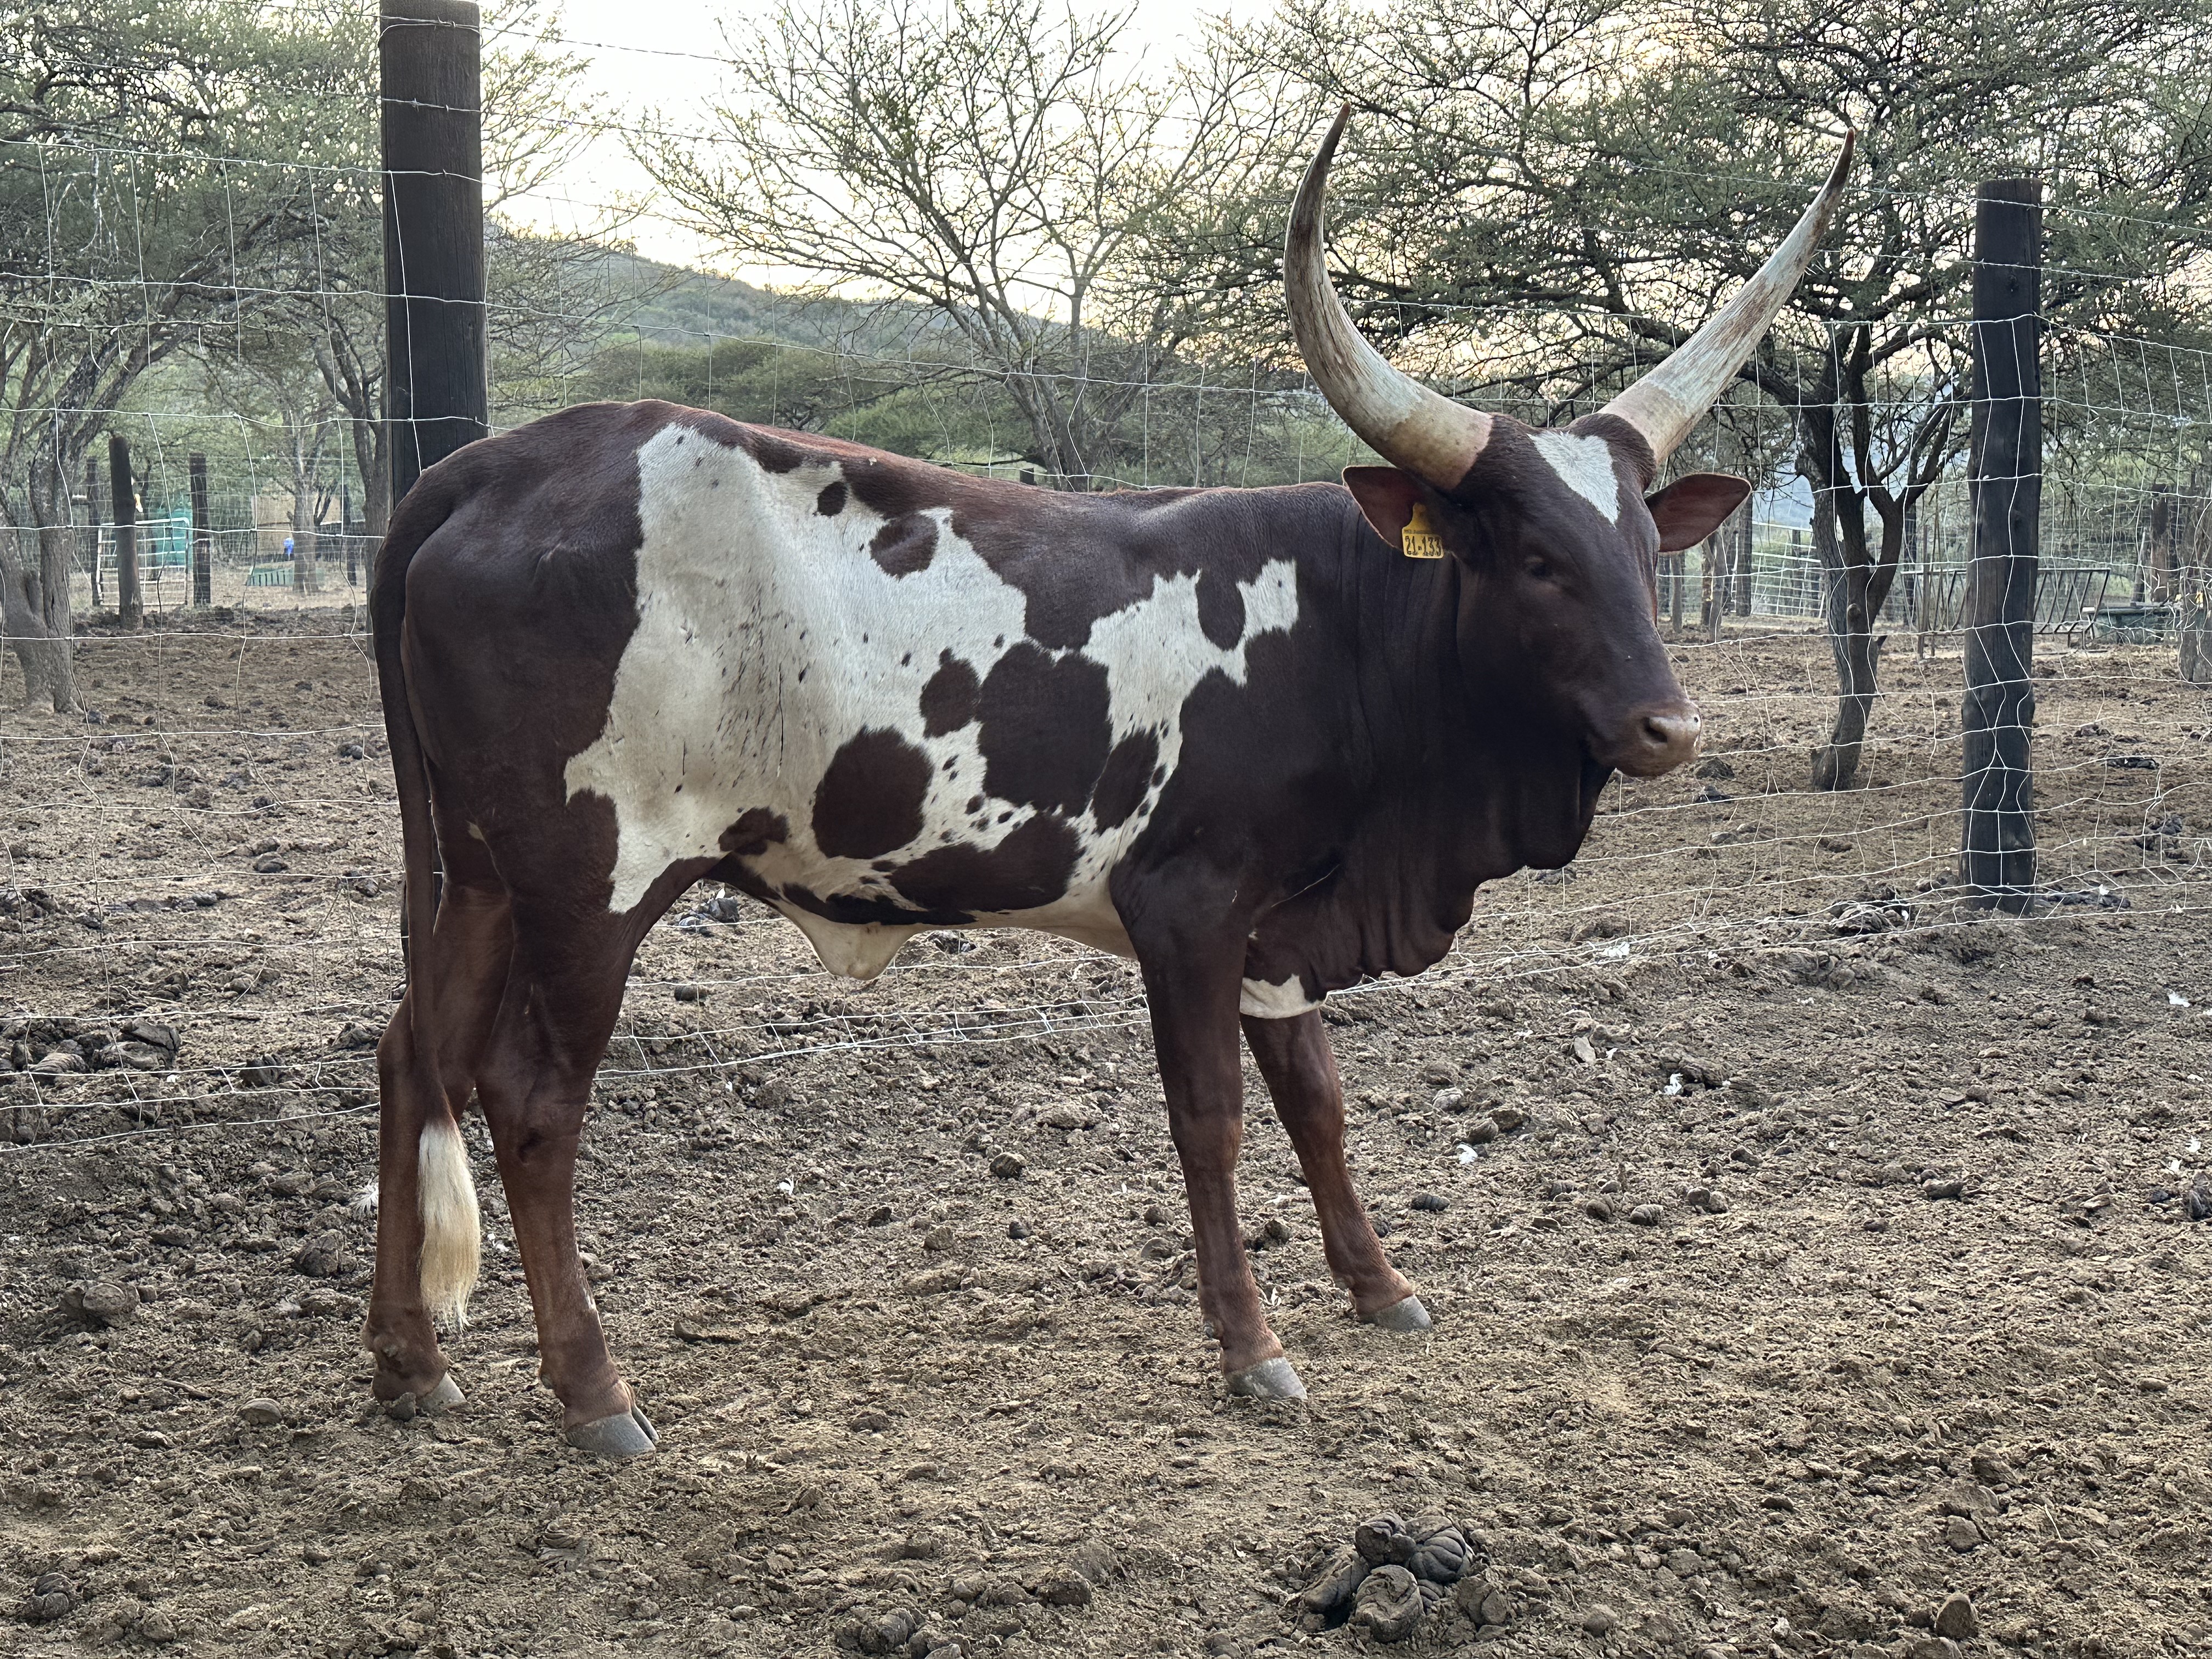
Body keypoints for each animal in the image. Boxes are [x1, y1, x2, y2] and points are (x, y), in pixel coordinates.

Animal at [362, 110, 1851, 1456]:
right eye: (1536, 560)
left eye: (1644, 557)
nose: (1669, 728)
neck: (1338, 621)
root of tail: (481, 470)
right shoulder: (1188, 908)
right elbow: (1214, 1117)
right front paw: (1252, 1348)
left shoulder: (1279, 926)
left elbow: (1318, 1099)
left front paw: (1380, 1287)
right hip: (591, 883)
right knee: (529, 1099)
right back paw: (594, 1395)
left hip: (479, 876)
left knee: (413, 1055)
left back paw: (411, 1366)